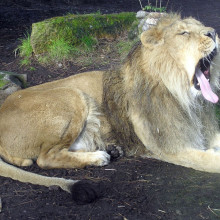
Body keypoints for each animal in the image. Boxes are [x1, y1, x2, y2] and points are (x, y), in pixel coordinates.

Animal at [0, 13, 219, 203]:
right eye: (184, 33)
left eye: (202, 26)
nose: (213, 32)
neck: (190, 102)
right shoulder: (170, 146)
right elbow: (210, 161)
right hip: (73, 95)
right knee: (45, 158)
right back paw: (99, 157)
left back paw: (111, 150)